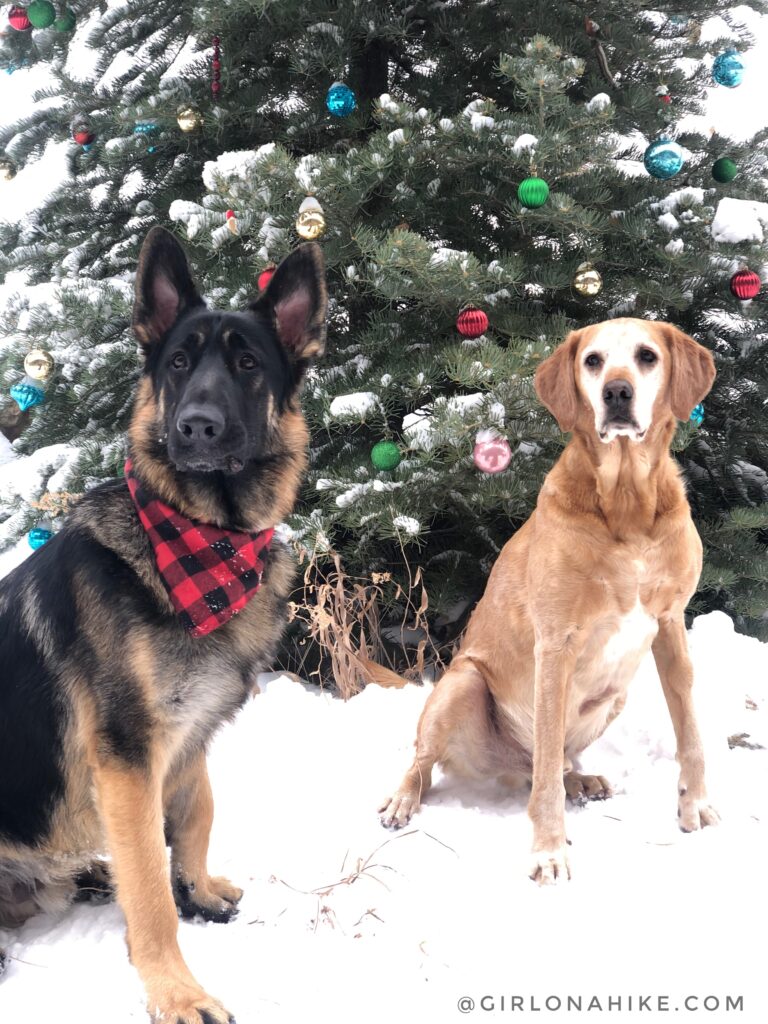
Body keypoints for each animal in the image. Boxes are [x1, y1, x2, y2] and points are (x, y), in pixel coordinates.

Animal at [0, 228, 327, 1019]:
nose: (196, 427)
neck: (199, 543)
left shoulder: (189, 730)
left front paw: (198, 888)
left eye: (247, 363)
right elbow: (148, 879)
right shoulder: (127, 756)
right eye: (179, 363)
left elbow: (198, 808)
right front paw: (175, 989)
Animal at [382, 317, 720, 880]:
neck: (626, 504)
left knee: (551, 763)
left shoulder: (671, 625)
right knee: (435, 763)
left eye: (647, 356)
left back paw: (581, 779)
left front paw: (695, 805)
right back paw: (403, 800)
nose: (617, 393)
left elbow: (691, 735)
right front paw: (549, 850)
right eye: (593, 361)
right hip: (463, 683)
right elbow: (543, 780)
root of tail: (502, 767)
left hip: (613, 695)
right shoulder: (556, 643)